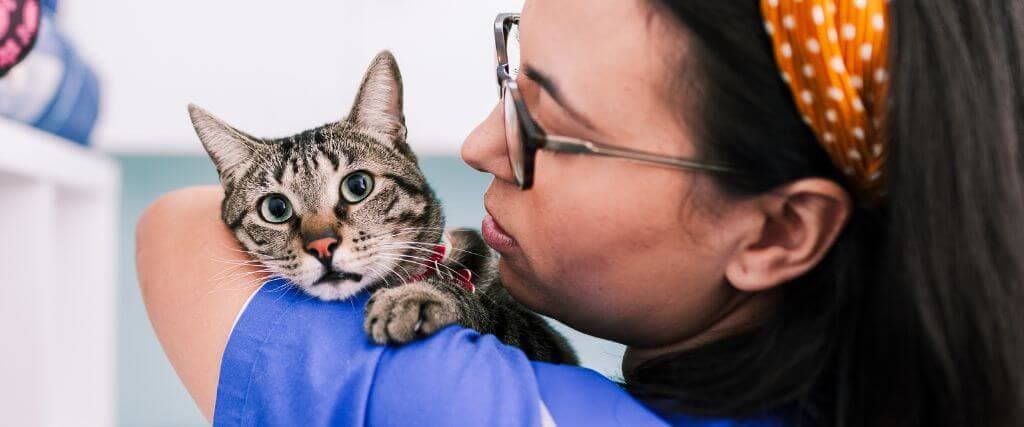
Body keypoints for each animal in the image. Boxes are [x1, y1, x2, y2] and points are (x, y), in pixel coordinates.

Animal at [190, 49, 577, 362]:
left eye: (357, 186)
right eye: (275, 209)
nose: (322, 246)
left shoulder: (548, 343)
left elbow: (492, 311)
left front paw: (418, 295)